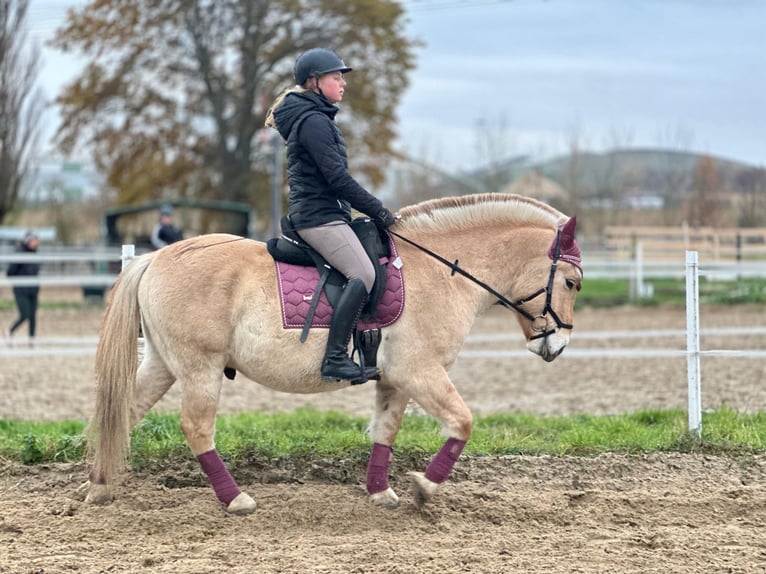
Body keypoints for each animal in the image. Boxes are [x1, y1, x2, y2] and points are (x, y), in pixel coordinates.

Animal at [79, 194, 584, 516]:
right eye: (572, 282)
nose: (556, 345)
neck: (442, 271)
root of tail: (155, 258)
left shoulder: (396, 378)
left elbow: (385, 431)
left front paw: (381, 493)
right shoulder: (419, 370)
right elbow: (462, 423)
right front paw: (424, 488)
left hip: (163, 364)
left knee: (123, 412)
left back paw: (99, 487)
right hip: (200, 368)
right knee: (197, 427)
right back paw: (235, 499)